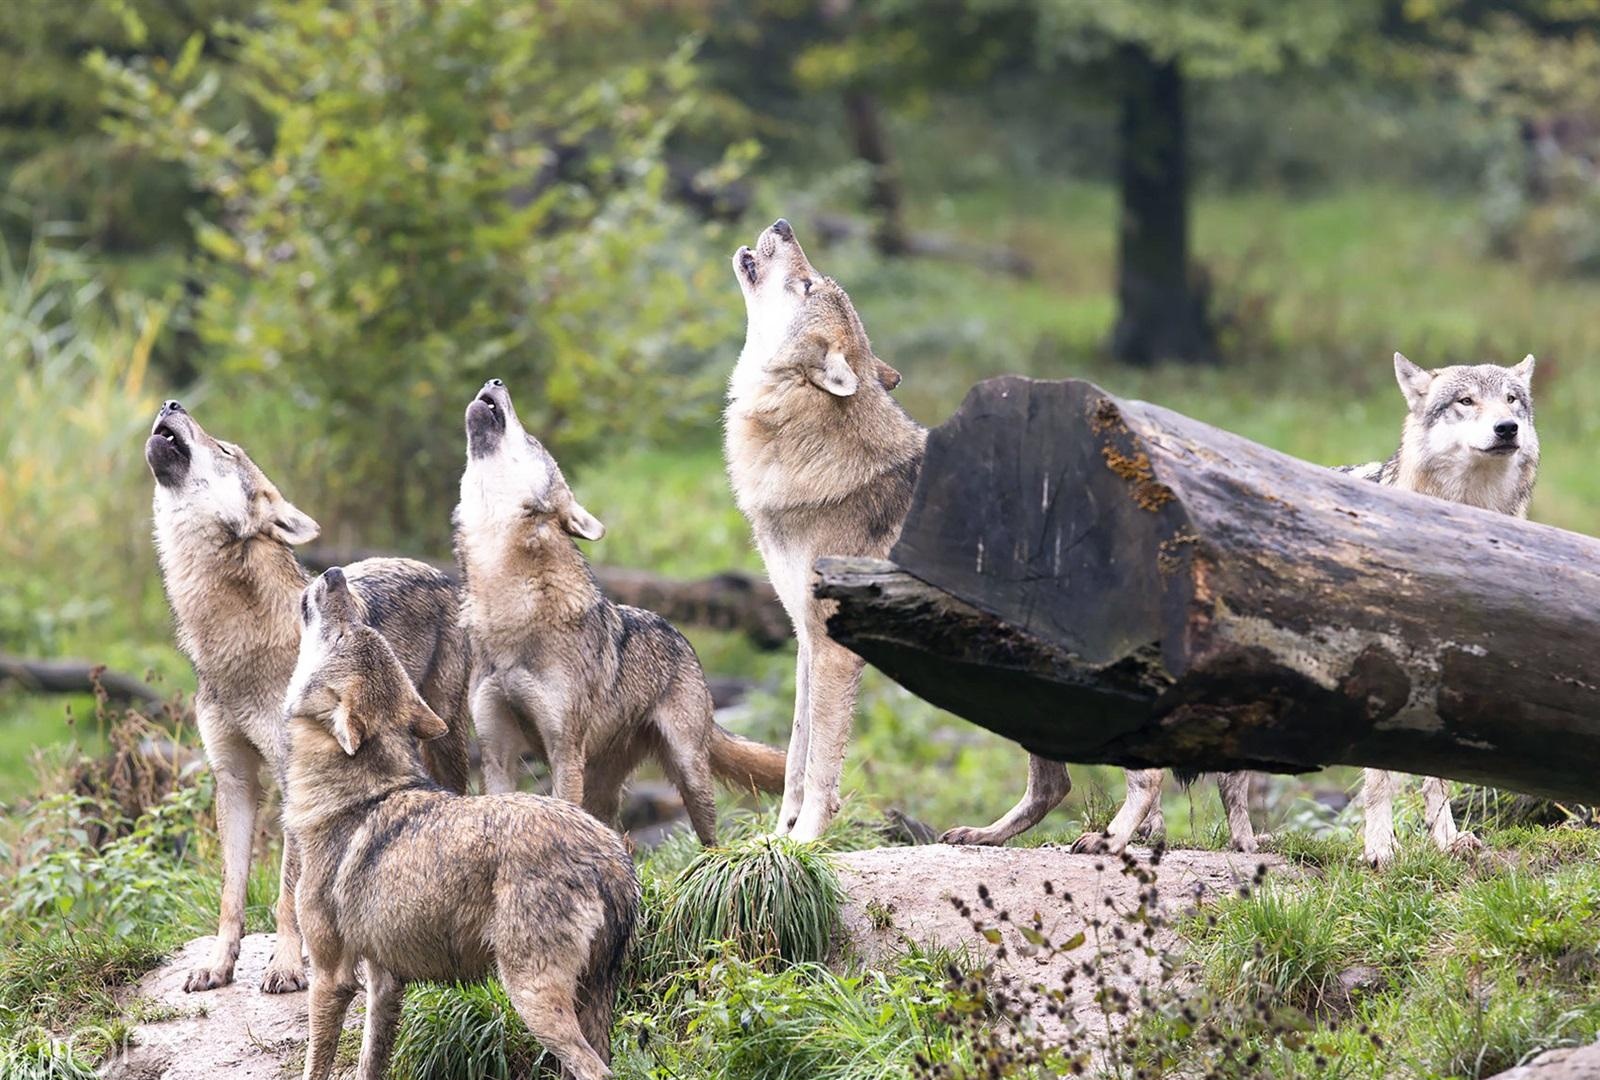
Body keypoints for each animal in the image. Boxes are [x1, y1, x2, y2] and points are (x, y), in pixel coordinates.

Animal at [143, 401, 470, 992]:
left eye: (226, 449)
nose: (171, 404)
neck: (233, 645)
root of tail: (436, 571)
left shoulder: (293, 779)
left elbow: (287, 893)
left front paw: (288, 965)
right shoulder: (233, 777)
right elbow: (231, 893)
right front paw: (219, 965)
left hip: (446, 741)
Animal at [288, 566, 636, 1080]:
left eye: (345, 633)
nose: (333, 575)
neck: (358, 796)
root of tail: (611, 857)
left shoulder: (331, 975)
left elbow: (318, 1062)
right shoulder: (383, 979)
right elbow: (370, 1061)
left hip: (531, 998)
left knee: (596, 1070)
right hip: (591, 1000)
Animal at [454, 380, 784, 844]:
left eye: (532, 441)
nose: (495, 381)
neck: (508, 607)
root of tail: (679, 634)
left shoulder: (563, 750)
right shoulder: (496, 751)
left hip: (688, 771)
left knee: (708, 837)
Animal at [1331, 355, 1542, 870]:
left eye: (1511, 400)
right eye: (1466, 401)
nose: (1507, 428)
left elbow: (1438, 776)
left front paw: (1446, 841)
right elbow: (1380, 779)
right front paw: (1380, 848)